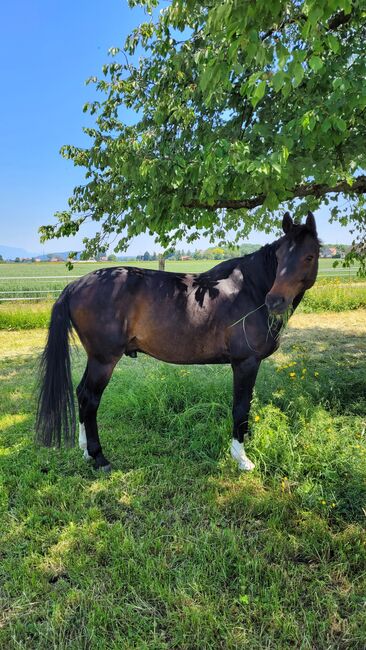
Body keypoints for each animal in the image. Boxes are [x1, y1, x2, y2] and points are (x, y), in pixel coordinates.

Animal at [35, 213, 318, 470]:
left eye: (309, 256)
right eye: (280, 257)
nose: (275, 301)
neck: (248, 290)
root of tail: (76, 285)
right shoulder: (245, 363)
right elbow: (240, 408)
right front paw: (241, 458)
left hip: (96, 359)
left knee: (82, 394)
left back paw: (85, 451)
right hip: (104, 361)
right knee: (89, 399)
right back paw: (99, 457)